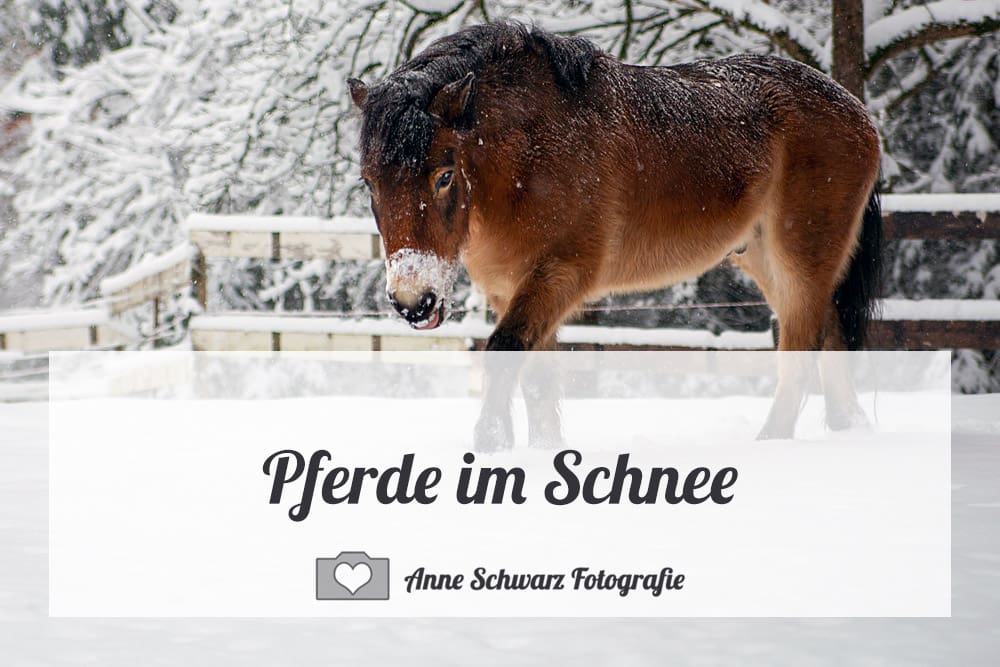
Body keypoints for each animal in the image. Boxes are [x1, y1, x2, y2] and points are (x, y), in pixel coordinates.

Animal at [348, 22, 883, 443]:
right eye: (369, 182)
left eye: (443, 175)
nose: (413, 302)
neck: (529, 155)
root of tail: (857, 111)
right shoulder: (508, 288)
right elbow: (537, 378)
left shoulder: (560, 273)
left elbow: (504, 351)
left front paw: (491, 444)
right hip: (765, 259)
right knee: (829, 335)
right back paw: (847, 427)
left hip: (800, 257)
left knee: (801, 348)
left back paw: (773, 441)